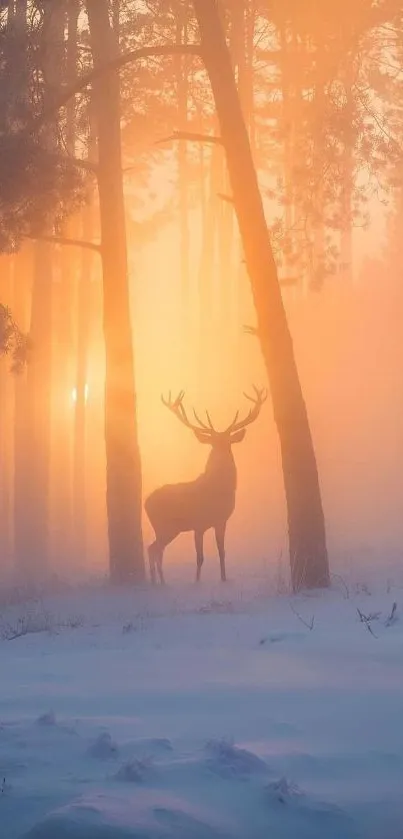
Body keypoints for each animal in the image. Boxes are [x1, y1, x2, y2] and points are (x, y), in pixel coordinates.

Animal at [145, 388, 268, 584]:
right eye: (214, 443)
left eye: (228, 442)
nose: (221, 454)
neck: (216, 492)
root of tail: (145, 502)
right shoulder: (199, 523)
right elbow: (200, 557)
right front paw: (196, 582)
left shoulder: (221, 521)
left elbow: (222, 552)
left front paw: (224, 579)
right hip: (164, 525)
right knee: (153, 549)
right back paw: (157, 582)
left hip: (169, 529)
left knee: (156, 549)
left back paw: (159, 582)